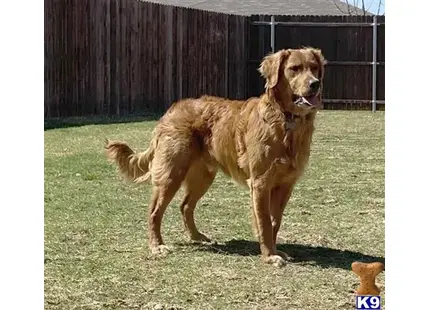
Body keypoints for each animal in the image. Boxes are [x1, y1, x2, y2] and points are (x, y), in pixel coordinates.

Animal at [106, 47, 326, 266]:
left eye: (314, 68)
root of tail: (171, 110)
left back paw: (197, 237)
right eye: (294, 68)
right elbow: (264, 222)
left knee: (185, 206)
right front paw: (270, 255)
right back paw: (157, 245)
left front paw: (276, 250)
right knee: (154, 212)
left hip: (203, 177)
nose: (315, 84)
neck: (286, 120)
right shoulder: (260, 183)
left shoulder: (286, 184)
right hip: (171, 174)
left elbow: (274, 221)